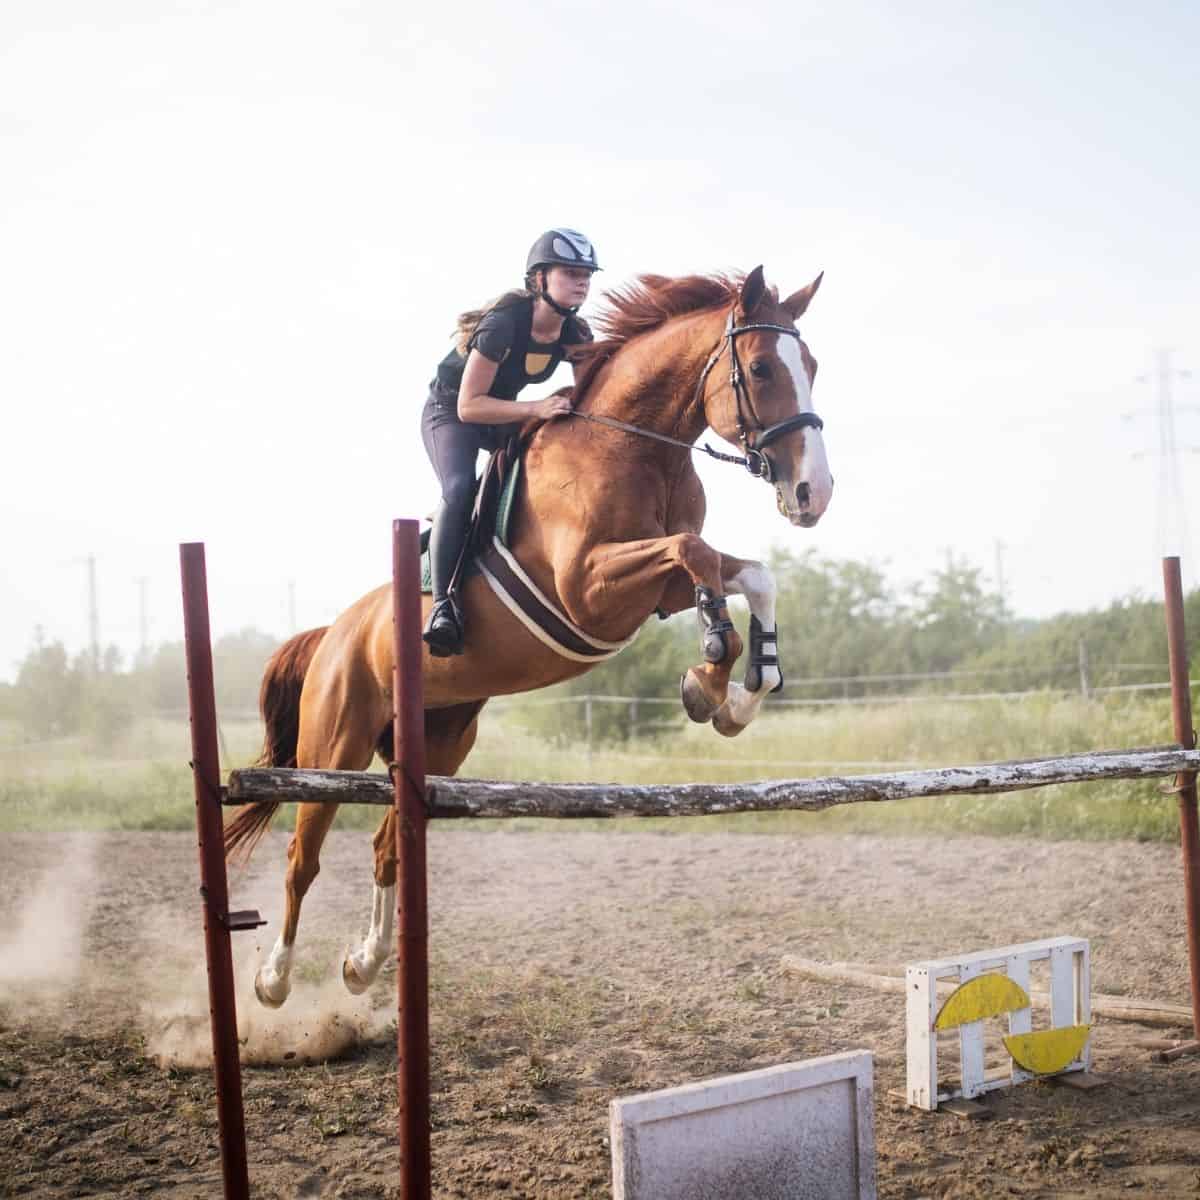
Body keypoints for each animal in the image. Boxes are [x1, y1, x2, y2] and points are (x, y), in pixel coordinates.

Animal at [226, 262, 835, 1003]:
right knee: (302, 855)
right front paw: (710, 672)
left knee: (386, 847)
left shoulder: (650, 594)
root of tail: (334, 632)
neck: (632, 445)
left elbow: (747, 574)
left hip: (437, 744)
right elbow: (692, 553)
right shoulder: (588, 590)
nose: (813, 493)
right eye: (762, 367)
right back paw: (273, 979)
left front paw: (736, 696)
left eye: (811, 366)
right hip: (333, 743)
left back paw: (363, 963)